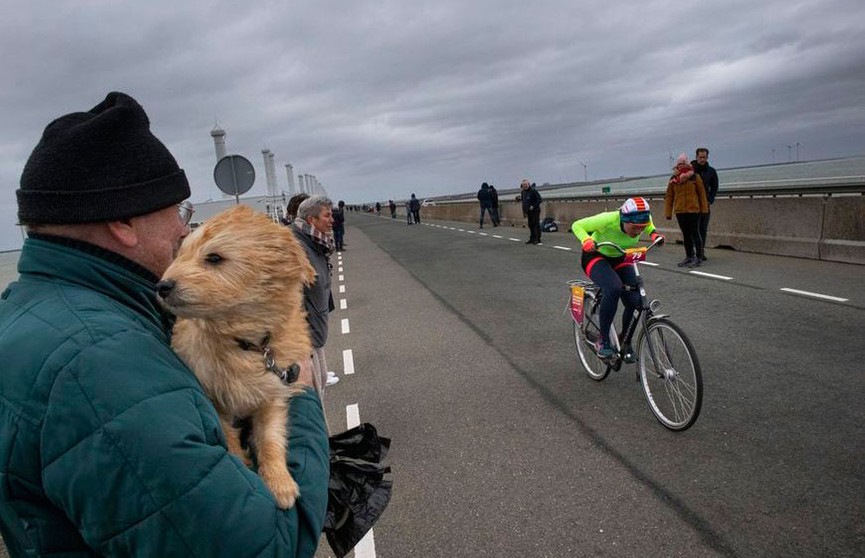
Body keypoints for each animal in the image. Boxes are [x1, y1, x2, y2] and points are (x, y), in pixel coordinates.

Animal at [157, 206, 316, 512]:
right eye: (180, 253)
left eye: (214, 258)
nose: (163, 286)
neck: (245, 344)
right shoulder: (214, 400)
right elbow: (227, 436)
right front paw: (242, 462)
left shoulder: (273, 395)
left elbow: (270, 438)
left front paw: (280, 482)